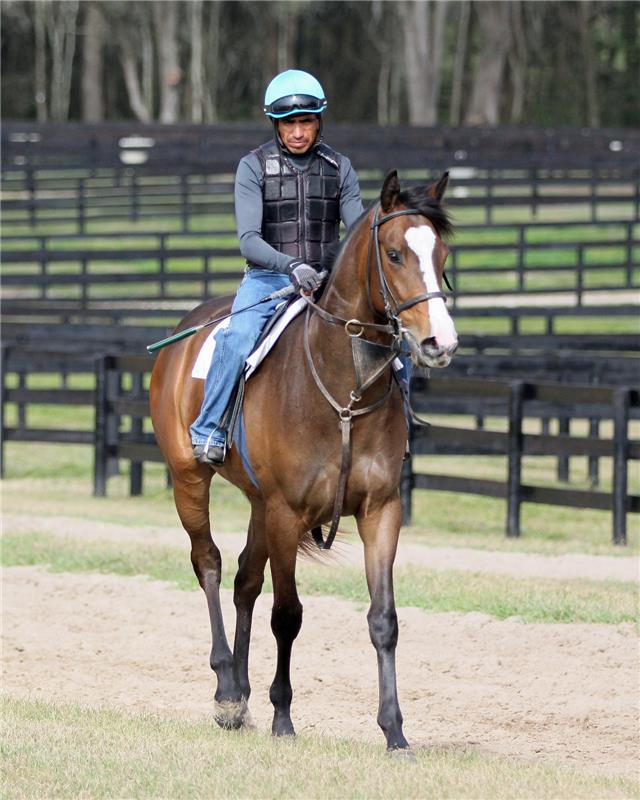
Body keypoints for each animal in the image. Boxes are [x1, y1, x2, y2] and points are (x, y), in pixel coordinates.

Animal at [149, 167, 458, 752]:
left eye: (442, 253)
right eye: (393, 254)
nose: (439, 341)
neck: (344, 391)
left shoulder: (381, 509)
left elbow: (384, 619)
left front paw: (394, 731)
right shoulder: (287, 512)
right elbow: (287, 615)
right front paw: (283, 717)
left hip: (256, 503)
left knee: (245, 579)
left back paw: (240, 694)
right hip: (190, 480)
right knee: (209, 564)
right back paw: (227, 688)